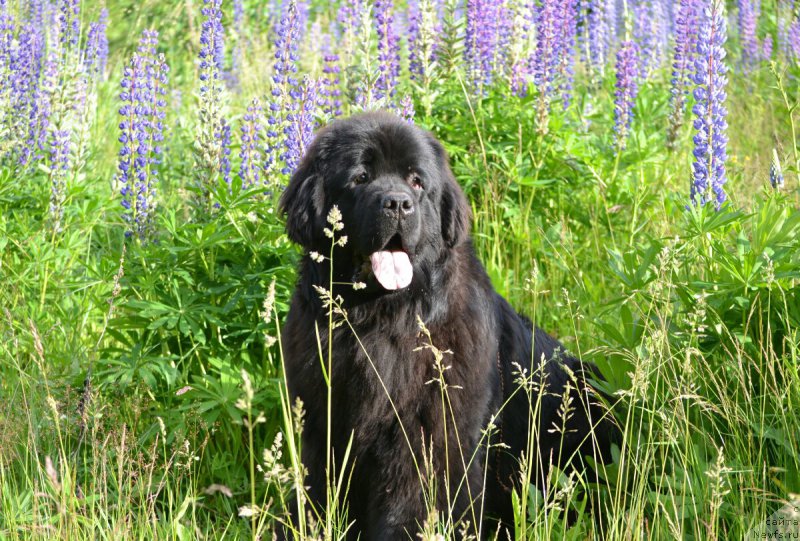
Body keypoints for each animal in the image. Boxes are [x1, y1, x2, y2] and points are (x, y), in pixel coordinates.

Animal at [278, 112, 616, 536]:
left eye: (416, 181)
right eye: (360, 177)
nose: (398, 203)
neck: (383, 319)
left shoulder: (430, 437)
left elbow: (417, 502)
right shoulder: (322, 423)